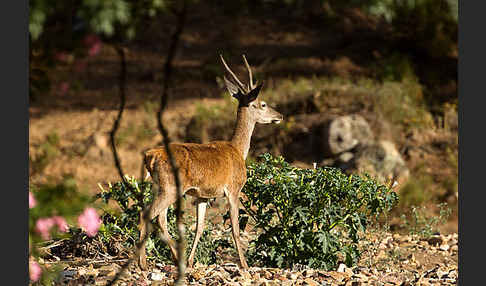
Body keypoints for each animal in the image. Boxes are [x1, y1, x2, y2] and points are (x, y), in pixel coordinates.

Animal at [138, 54, 284, 270]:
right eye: (263, 104)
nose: (280, 115)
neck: (238, 150)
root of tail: (150, 156)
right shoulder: (233, 189)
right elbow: (235, 229)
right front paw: (244, 265)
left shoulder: (203, 196)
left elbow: (199, 227)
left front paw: (191, 261)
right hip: (170, 187)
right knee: (147, 214)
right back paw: (143, 263)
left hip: (160, 186)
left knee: (160, 219)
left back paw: (174, 258)